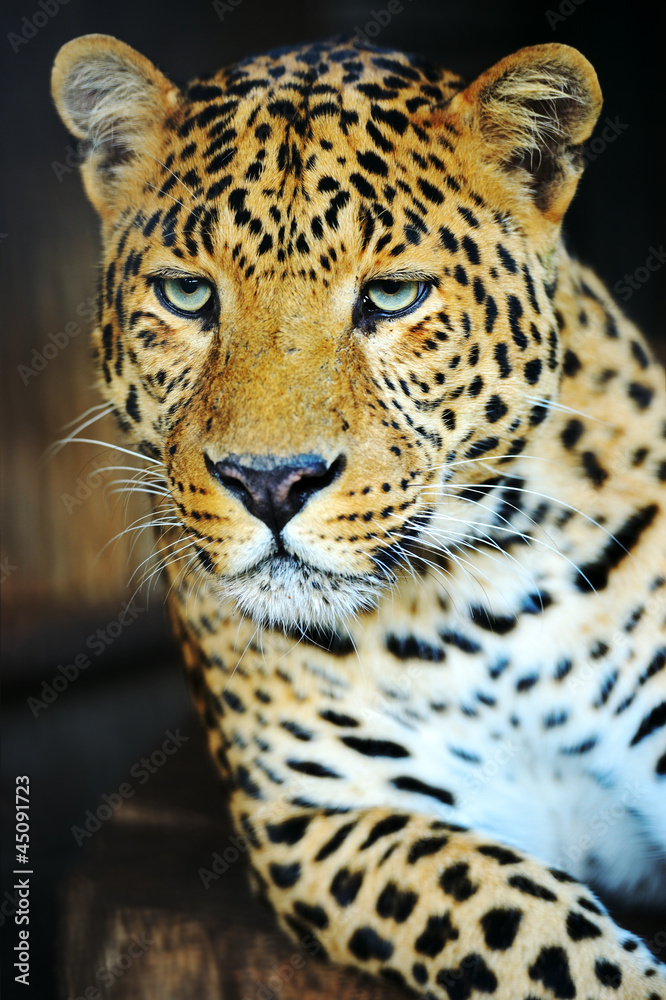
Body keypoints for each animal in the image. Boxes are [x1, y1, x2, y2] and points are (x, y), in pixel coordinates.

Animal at [51, 31, 666, 1000]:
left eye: (393, 296)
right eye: (188, 295)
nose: (271, 483)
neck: (477, 593)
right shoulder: (323, 816)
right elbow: (538, 933)